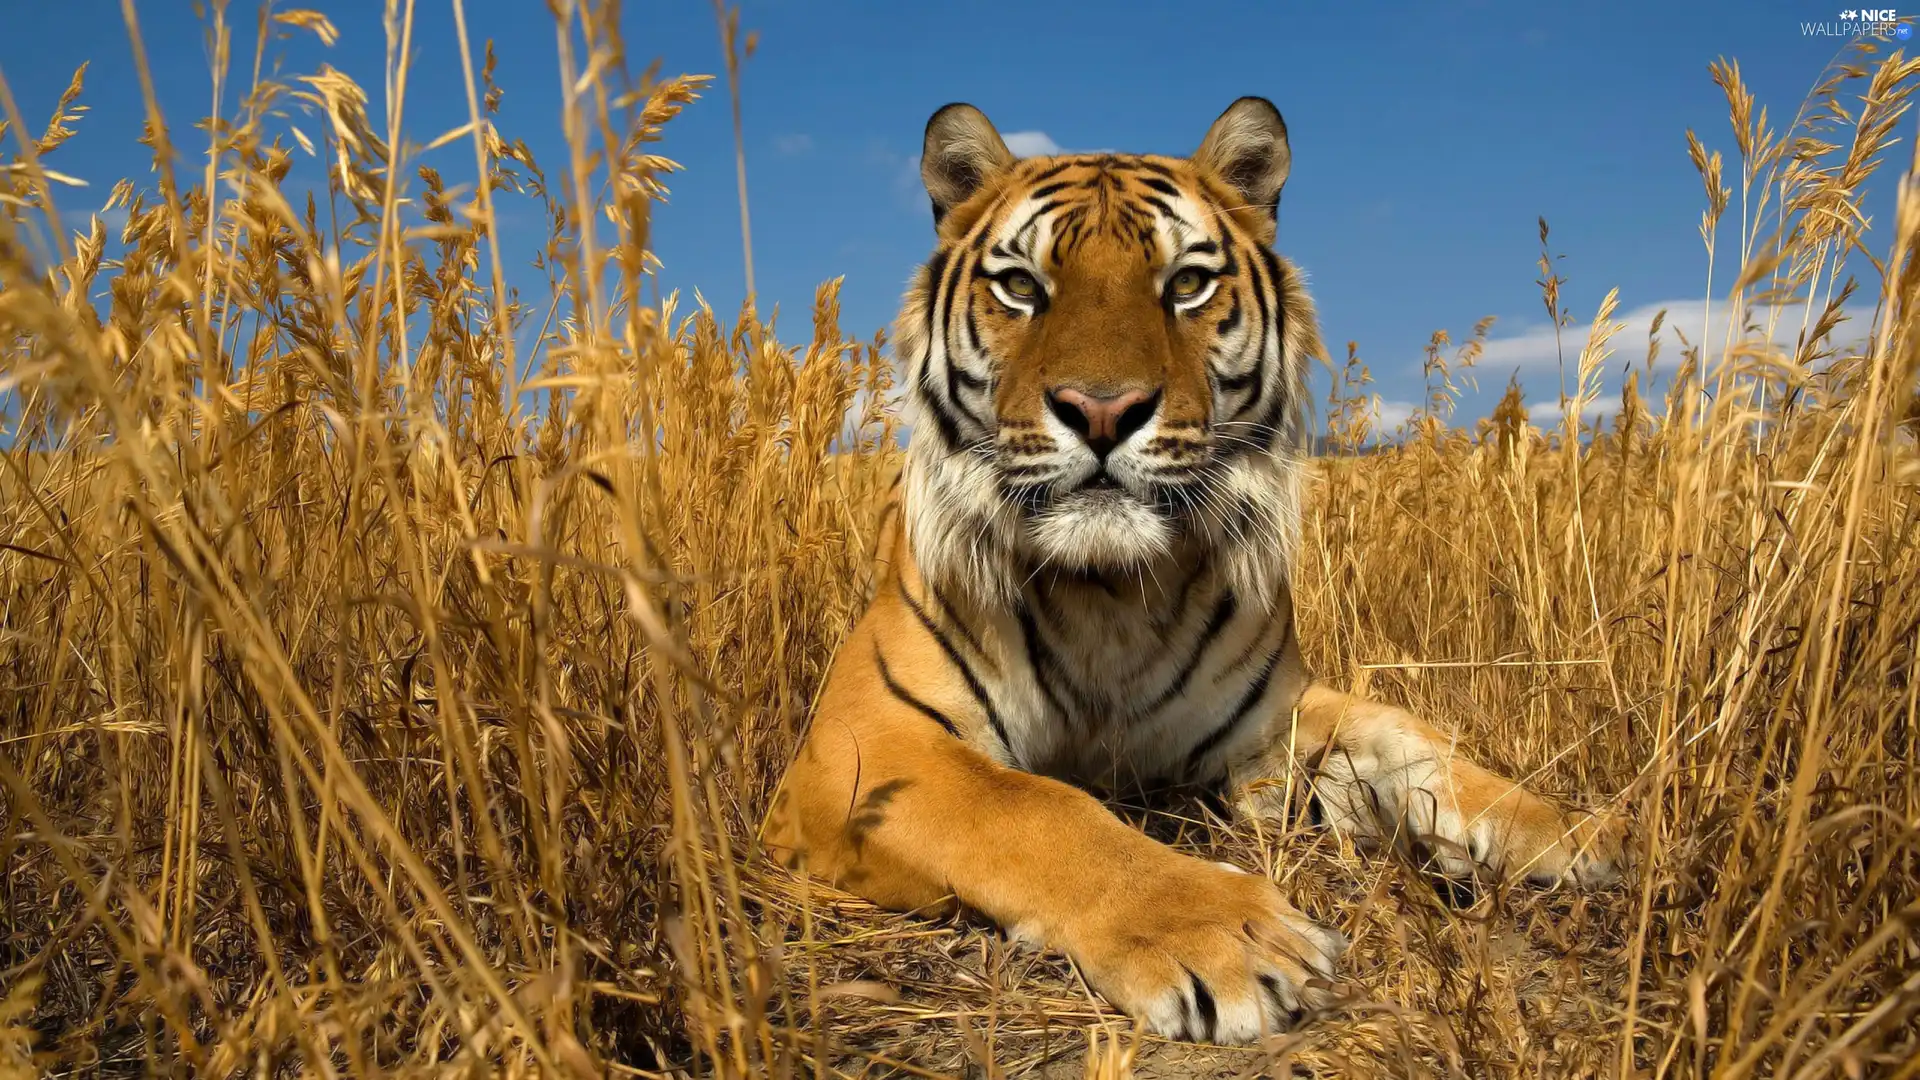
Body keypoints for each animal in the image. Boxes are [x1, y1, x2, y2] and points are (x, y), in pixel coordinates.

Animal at [756, 96, 1628, 1037]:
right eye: (1022, 286)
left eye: (1185, 285)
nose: (1103, 410)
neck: (1108, 594)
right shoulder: (865, 740)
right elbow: (1035, 807)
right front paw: (1232, 938)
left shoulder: (1269, 728)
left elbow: (1414, 745)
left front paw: (1580, 832)